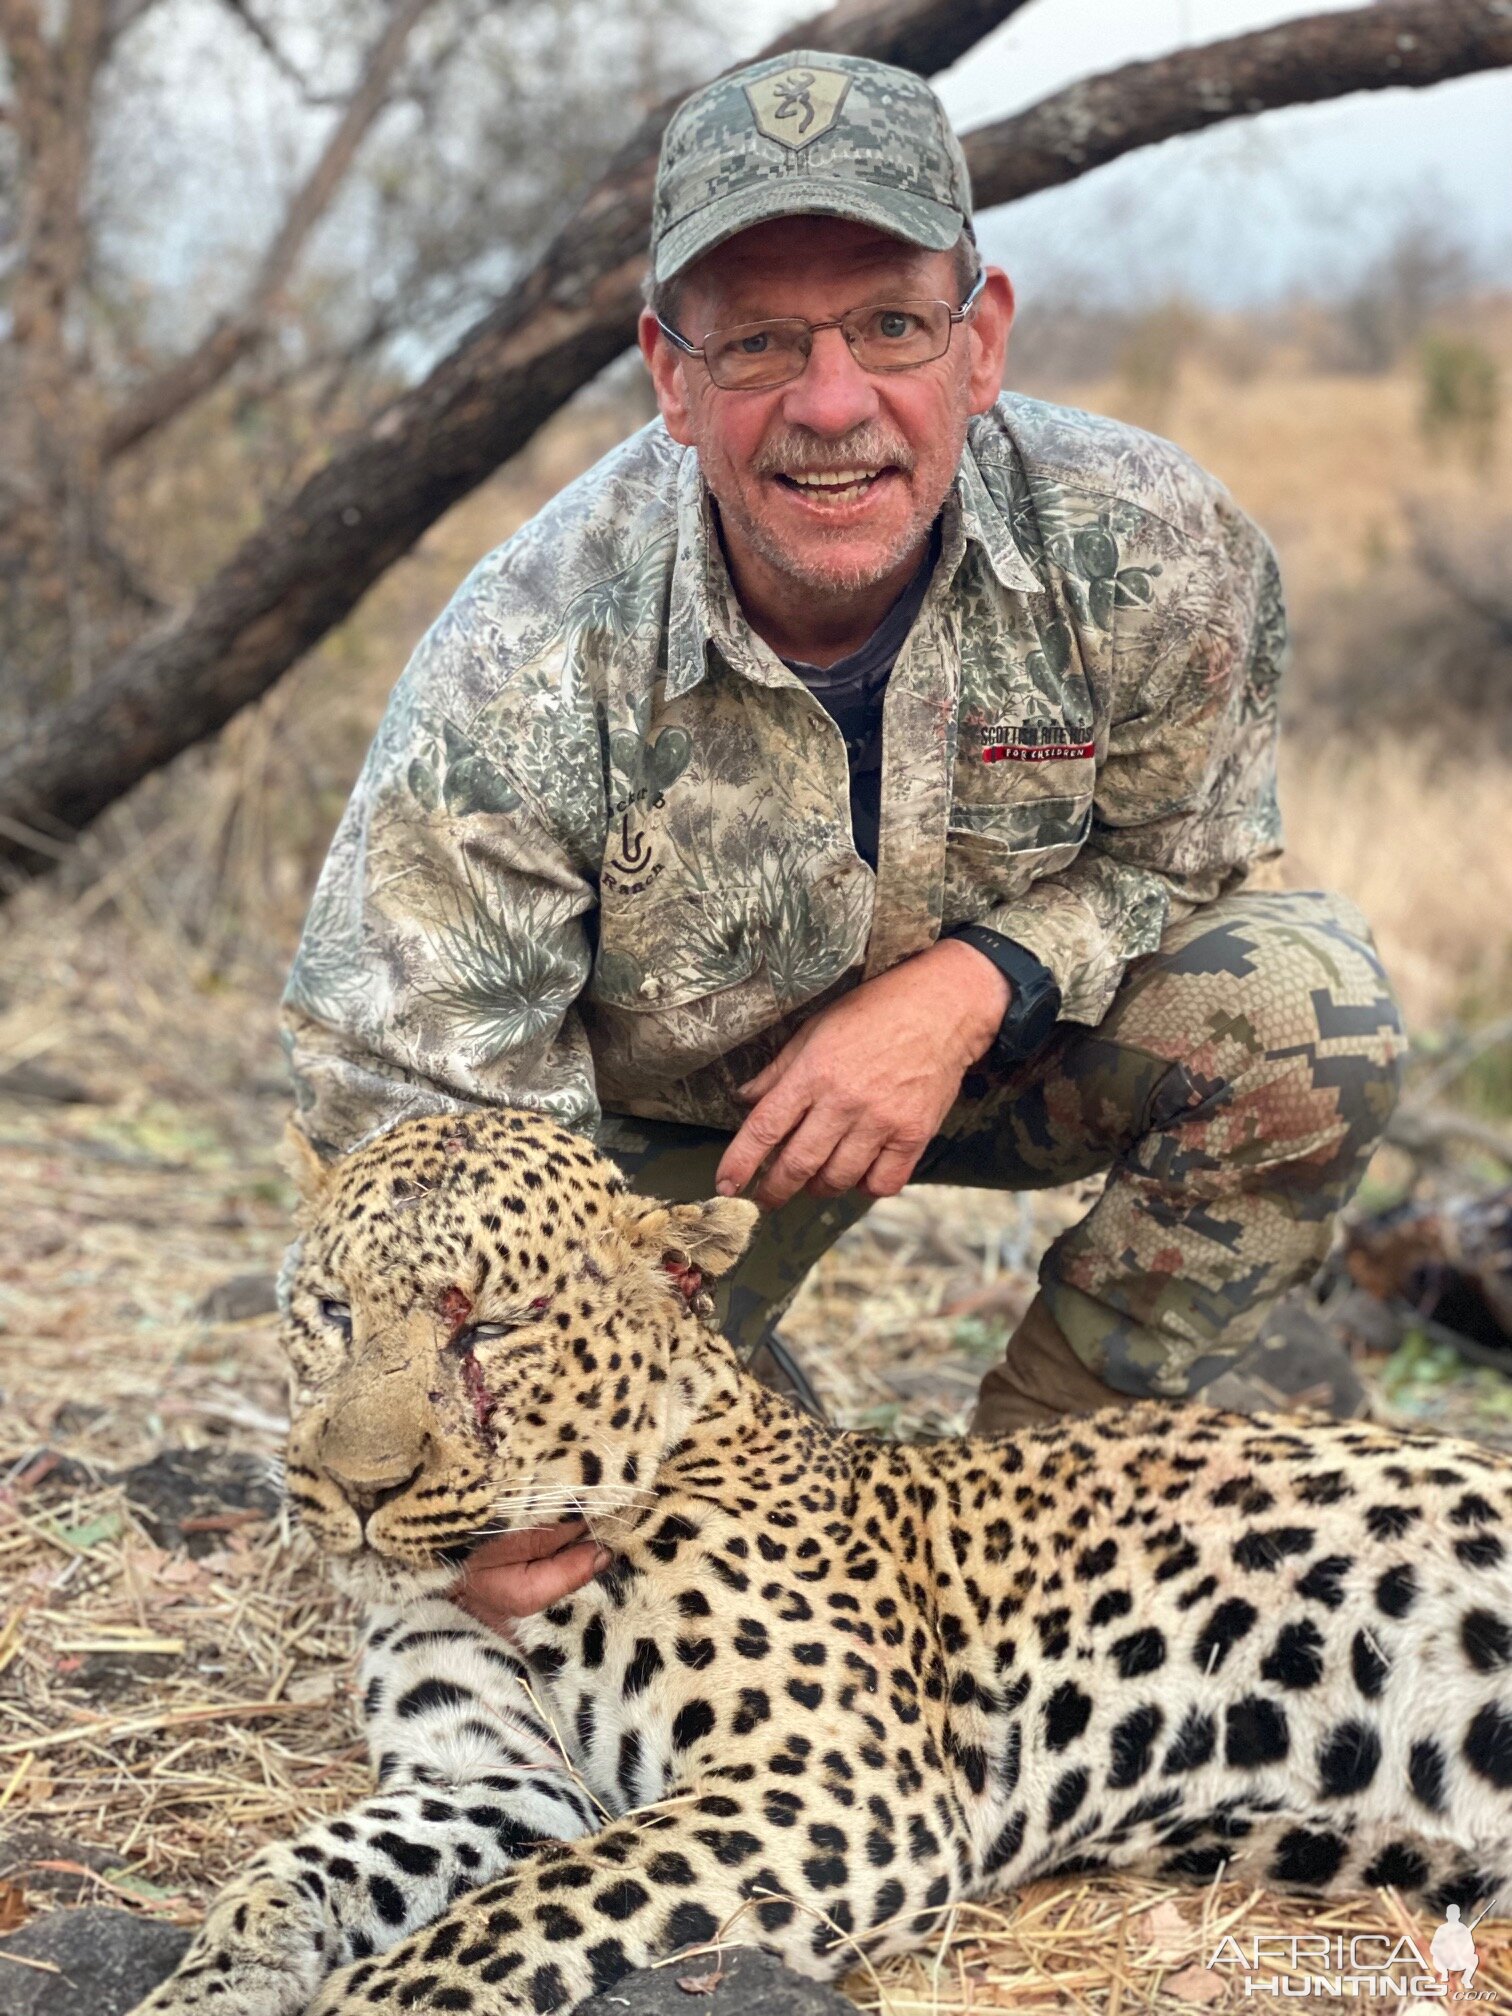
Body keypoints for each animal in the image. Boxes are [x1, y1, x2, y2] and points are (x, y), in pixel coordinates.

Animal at [133, 1112, 1512, 2007]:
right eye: (329, 1311)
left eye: (497, 1328)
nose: (356, 1491)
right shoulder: (496, 1777)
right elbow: (298, 1865)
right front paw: (217, 1980)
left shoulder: (837, 1782)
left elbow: (510, 1922)